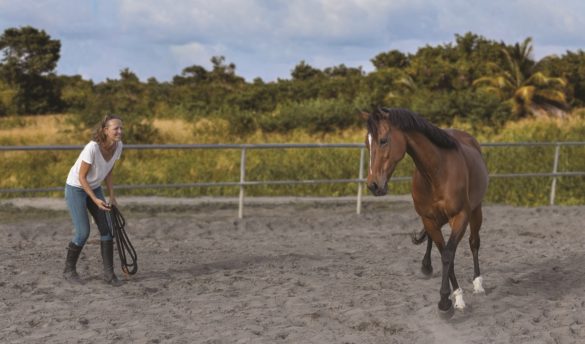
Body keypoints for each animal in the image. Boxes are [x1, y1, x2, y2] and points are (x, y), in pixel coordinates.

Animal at [364, 108, 488, 318]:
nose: (373, 185)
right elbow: (445, 253)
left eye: (383, 140)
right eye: (367, 143)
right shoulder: (428, 218)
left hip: (475, 210)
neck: (437, 170)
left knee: (474, 243)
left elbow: (448, 254)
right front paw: (455, 297)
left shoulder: (460, 217)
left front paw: (446, 302)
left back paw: (478, 283)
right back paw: (426, 265)